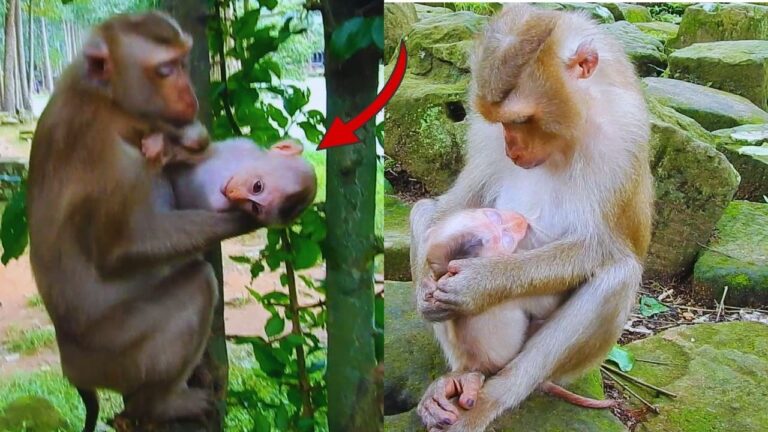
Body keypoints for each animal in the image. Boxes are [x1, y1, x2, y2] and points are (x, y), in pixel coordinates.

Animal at [27, 12, 260, 431]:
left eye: (183, 62)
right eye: (165, 70)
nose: (190, 95)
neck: (105, 98)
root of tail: (71, 369)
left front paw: (182, 139)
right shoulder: (112, 160)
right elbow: (122, 247)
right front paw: (245, 215)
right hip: (115, 357)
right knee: (200, 284)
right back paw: (159, 404)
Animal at [409, 5, 653, 431]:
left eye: (522, 120)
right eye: (501, 123)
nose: (511, 148)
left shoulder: (622, 140)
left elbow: (600, 247)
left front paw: (479, 284)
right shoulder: (483, 134)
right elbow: (451, 206)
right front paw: (426, 288)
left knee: (618, 274)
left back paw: (495, 396)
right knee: (424, 210)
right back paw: (465, 376)